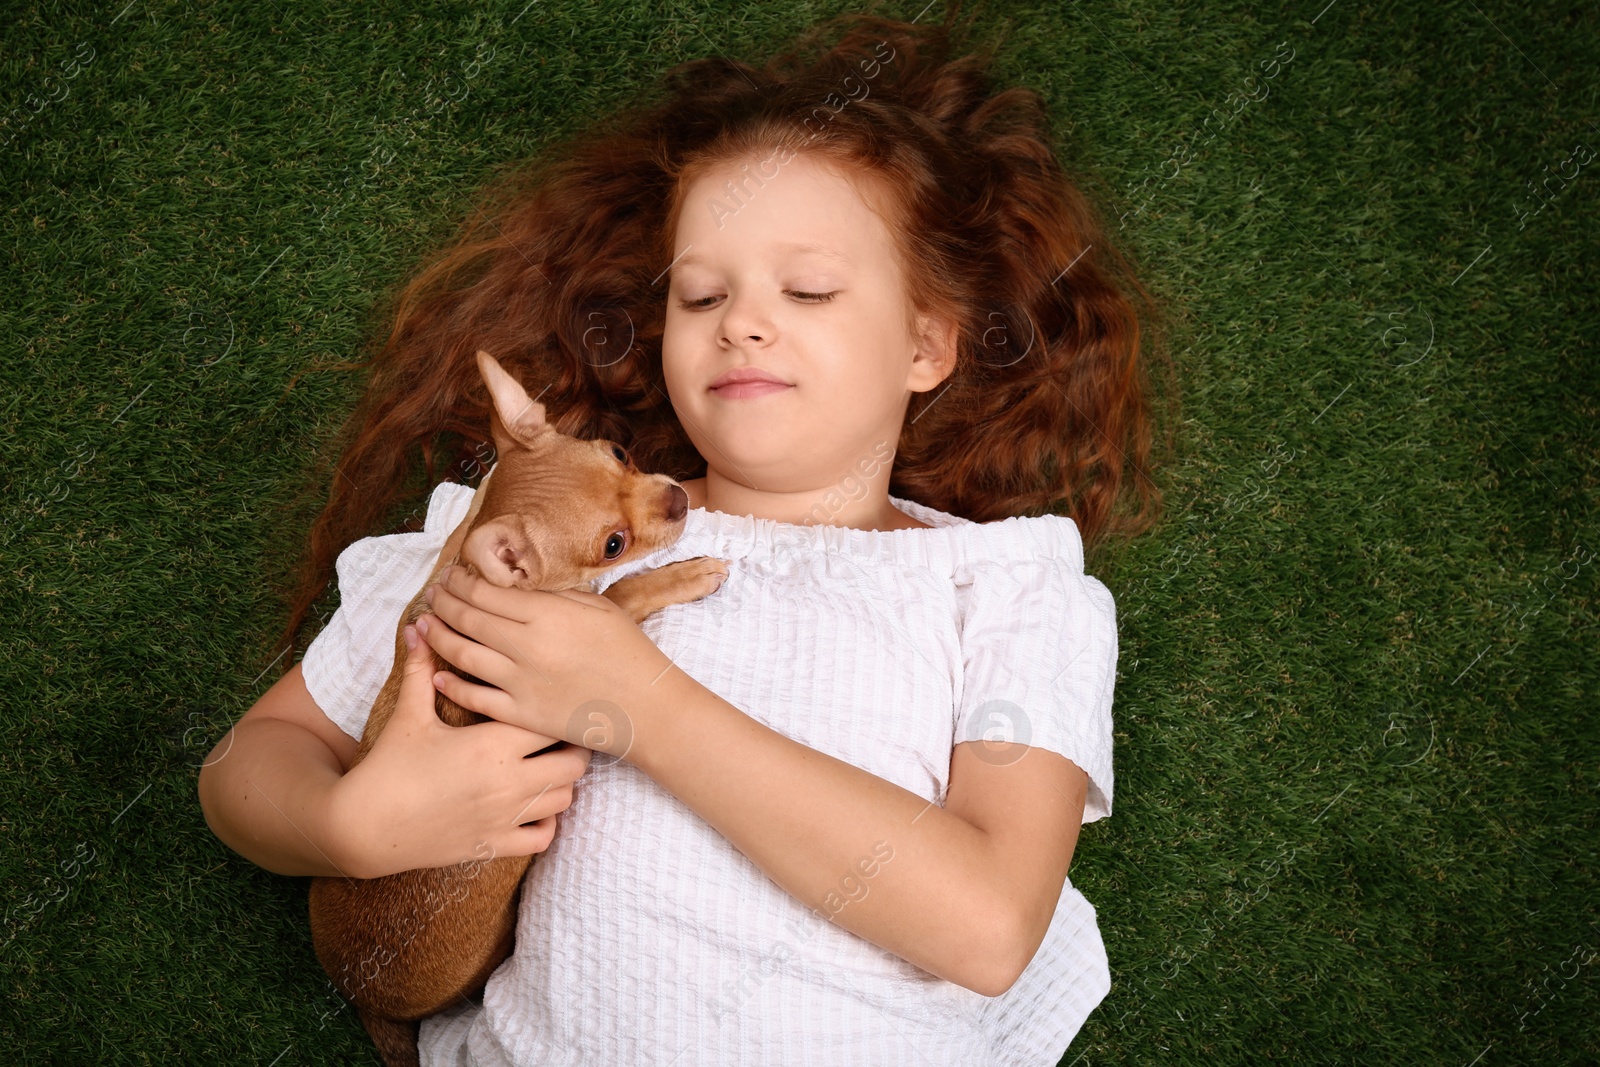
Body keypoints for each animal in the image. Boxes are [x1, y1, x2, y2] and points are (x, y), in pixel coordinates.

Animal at [307, 350, 732, 1067]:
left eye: (619, 452)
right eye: (613, 543)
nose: (678, 498)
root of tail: (363, 997)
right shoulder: (600, 617)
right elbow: (628, 594)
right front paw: (685, 574)